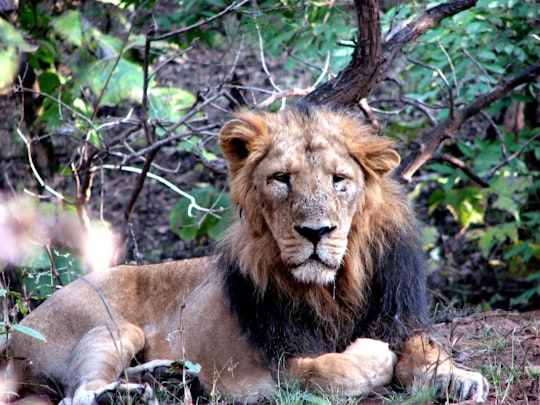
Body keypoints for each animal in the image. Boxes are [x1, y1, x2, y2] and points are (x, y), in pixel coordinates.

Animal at [1, 103, 490, 400]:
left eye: (339, 180)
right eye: (282, 179)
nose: (316, 232)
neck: (335, 287)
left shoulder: (401, 316)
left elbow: (425, 350)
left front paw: (457, 378)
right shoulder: (277, 367)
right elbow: (334, 372)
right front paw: (376, 358)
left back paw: (164, 375)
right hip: (112, 328)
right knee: (77, 395)